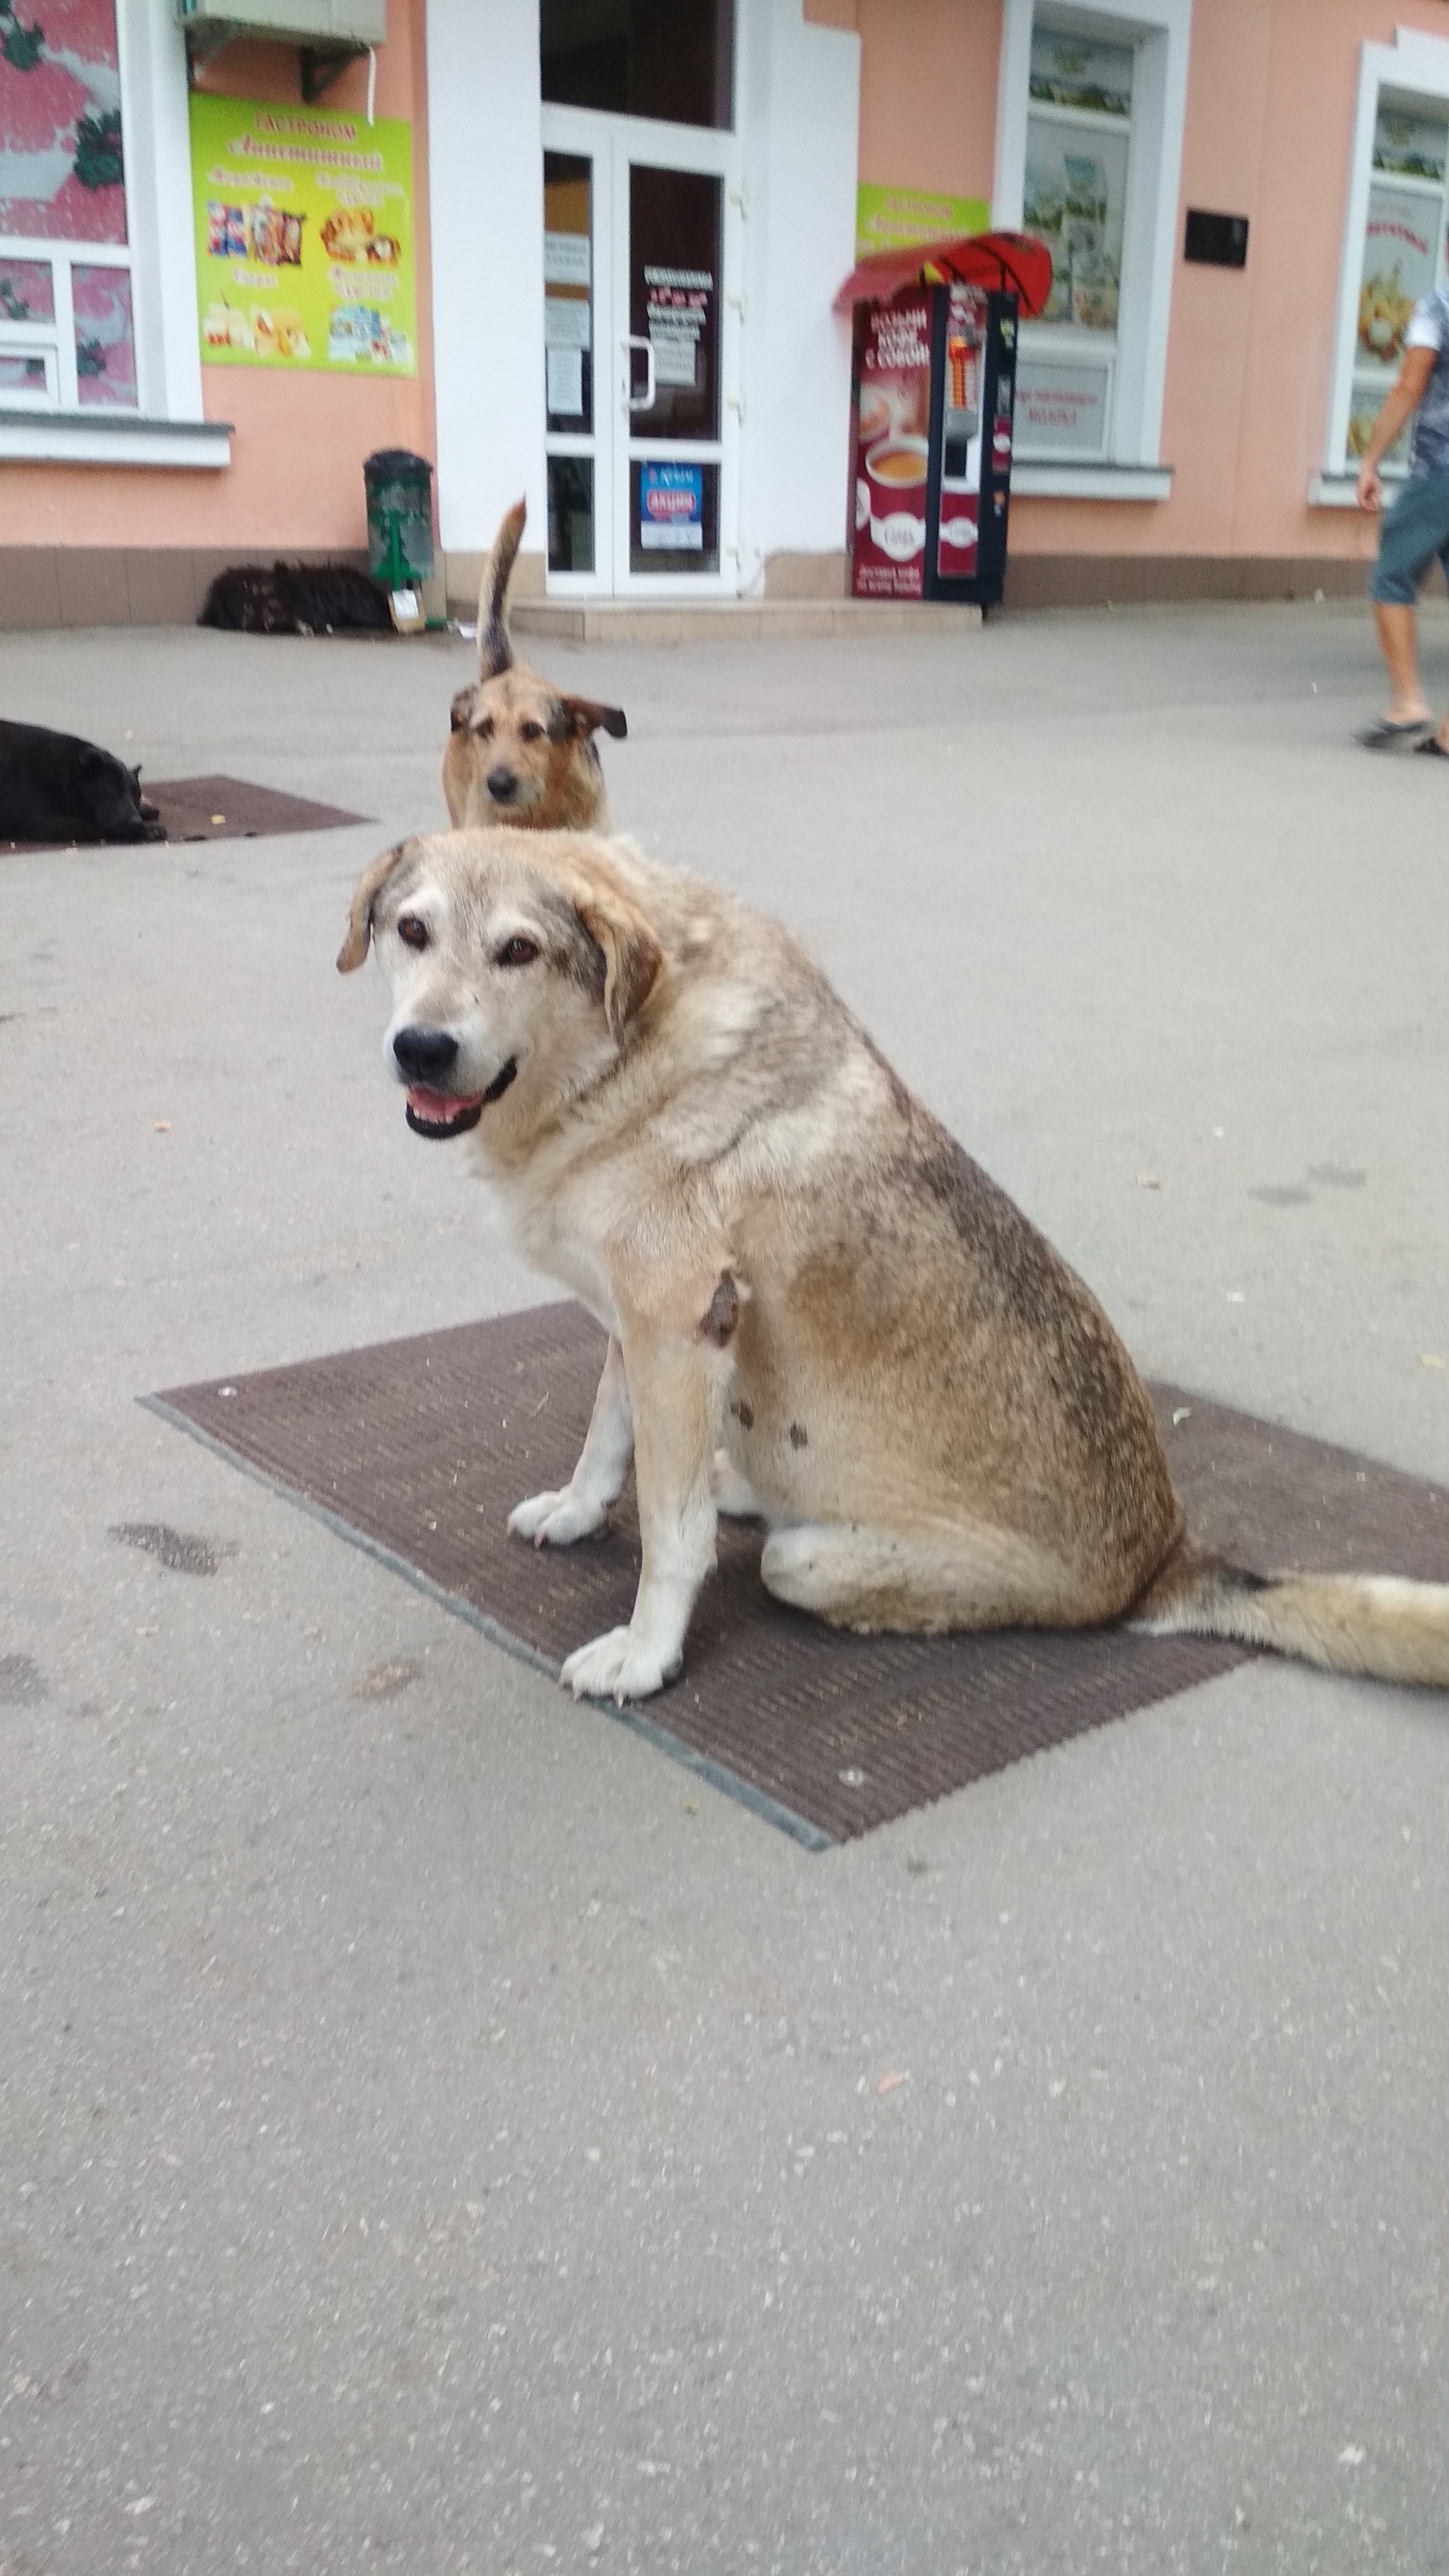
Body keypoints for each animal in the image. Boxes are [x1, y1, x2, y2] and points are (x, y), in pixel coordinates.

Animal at [0, 715, 164, 844]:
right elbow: (96, 825)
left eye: (136, 795)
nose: (135, 822)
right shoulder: (48, 823)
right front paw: (148, 829)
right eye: (110, 791)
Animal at [342, 829, 1449, 1710]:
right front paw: (576, 1513)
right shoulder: (644, 1326)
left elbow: (668, 1530)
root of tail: (1169, 1560)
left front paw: (646, 1657)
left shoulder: (670, 1321)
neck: (617, 1057)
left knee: (777, 1543)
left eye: (518, 950)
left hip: (813, 1563)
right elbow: (609, 1441)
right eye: (413, 932)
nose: (422, 1048)